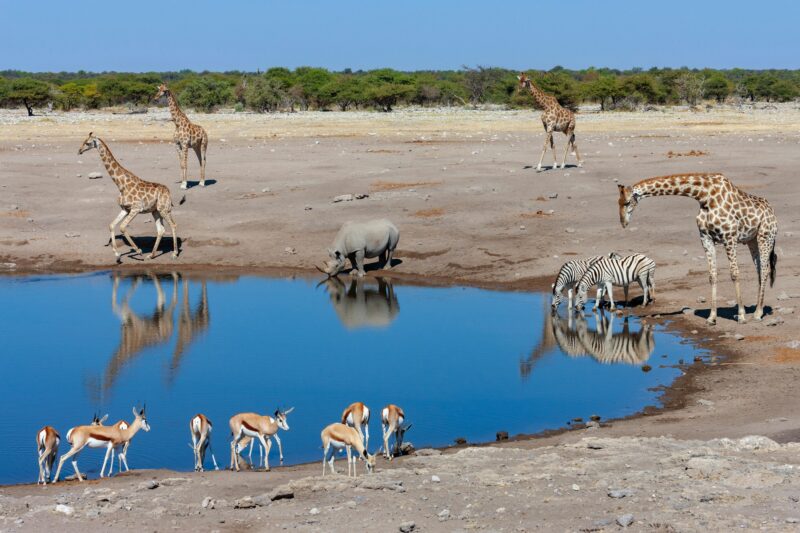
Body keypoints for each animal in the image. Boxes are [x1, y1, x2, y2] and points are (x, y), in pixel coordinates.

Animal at [78, 131, 178, 260]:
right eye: (84, 141)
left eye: (88, 143)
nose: (79, 151)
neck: (121, 184)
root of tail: (168, 192)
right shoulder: (125, 209)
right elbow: (112, 225)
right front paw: (117, 254)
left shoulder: (136, 208)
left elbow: (122, 227)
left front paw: (138, 250)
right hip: (155, 210)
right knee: (161, 230)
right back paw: (151, 255)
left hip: (164, 209)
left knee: (173, 225)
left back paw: (174, 253)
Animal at [616, 174, 780, 324]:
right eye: (618, 202)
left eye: (627, 202)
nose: (623, 223)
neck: (704, 196)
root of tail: (772, 211)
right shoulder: (705, 238)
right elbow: (712, 276)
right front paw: (712, 317)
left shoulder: (729, 237)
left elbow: (734, 274)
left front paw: (741, 315)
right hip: (752, 240)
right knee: (760, 270)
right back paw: (758, 308)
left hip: (765, 236)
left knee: (765, 270)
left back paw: (758, 313)